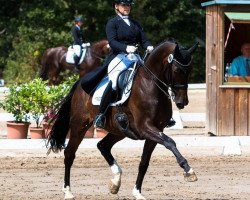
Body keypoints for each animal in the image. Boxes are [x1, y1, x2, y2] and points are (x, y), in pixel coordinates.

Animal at [47, 39, 199, 199]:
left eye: (190, 70)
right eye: (177, 70)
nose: (182, 102)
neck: (150, 84)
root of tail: (79, 84)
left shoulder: (156, 130)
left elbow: (144, 162)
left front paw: (137, 192)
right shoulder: (145, 127)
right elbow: (170, 142)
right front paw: (188, 170)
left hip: (120, 131)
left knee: (102, 146)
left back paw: (115, 181)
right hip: (79, 125)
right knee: (69, 153)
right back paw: (68, 191)